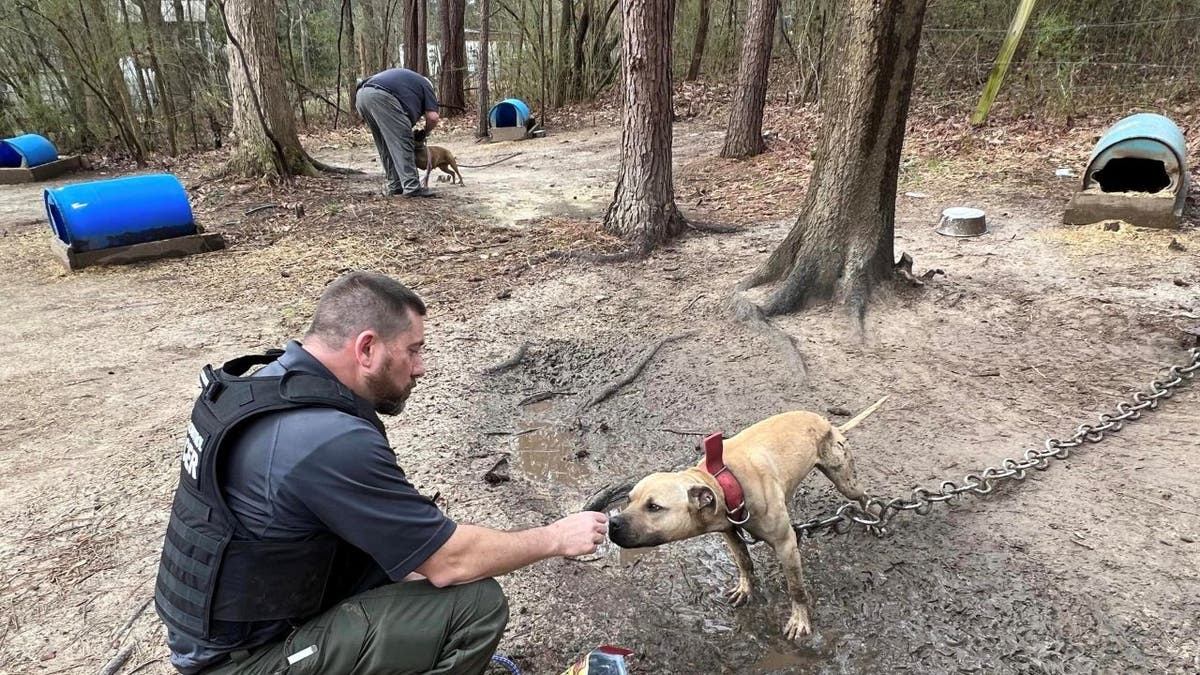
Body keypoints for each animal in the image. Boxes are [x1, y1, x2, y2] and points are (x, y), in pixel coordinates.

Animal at [609, 396, 883, 638]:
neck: (723, 481)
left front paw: (799, 618)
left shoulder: (785, 545)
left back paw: (874, 517)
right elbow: (744, 561)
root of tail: (826, 422)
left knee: (863, 495)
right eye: (629, 500)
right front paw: (746, 588)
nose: (612, 523)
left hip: (844, 479)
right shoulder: (729, 531)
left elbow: (796, 588)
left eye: (654, 507)